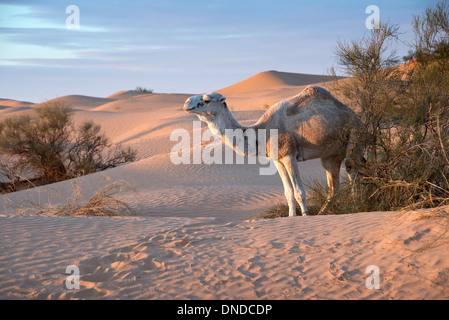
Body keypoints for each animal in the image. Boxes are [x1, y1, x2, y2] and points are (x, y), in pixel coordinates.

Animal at [182, 85, 360, 216]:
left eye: (206, 99)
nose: (187, 102)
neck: (262, 132)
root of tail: (353, 113)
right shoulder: (277, 159)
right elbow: (288, 193)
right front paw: (292, 217)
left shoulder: (289, 155)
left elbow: (299, 192)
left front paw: (305, 216)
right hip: (331, 154)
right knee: (334, 186)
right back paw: (324, 212)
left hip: (356, 134)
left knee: (352, 170)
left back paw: (356, 205)